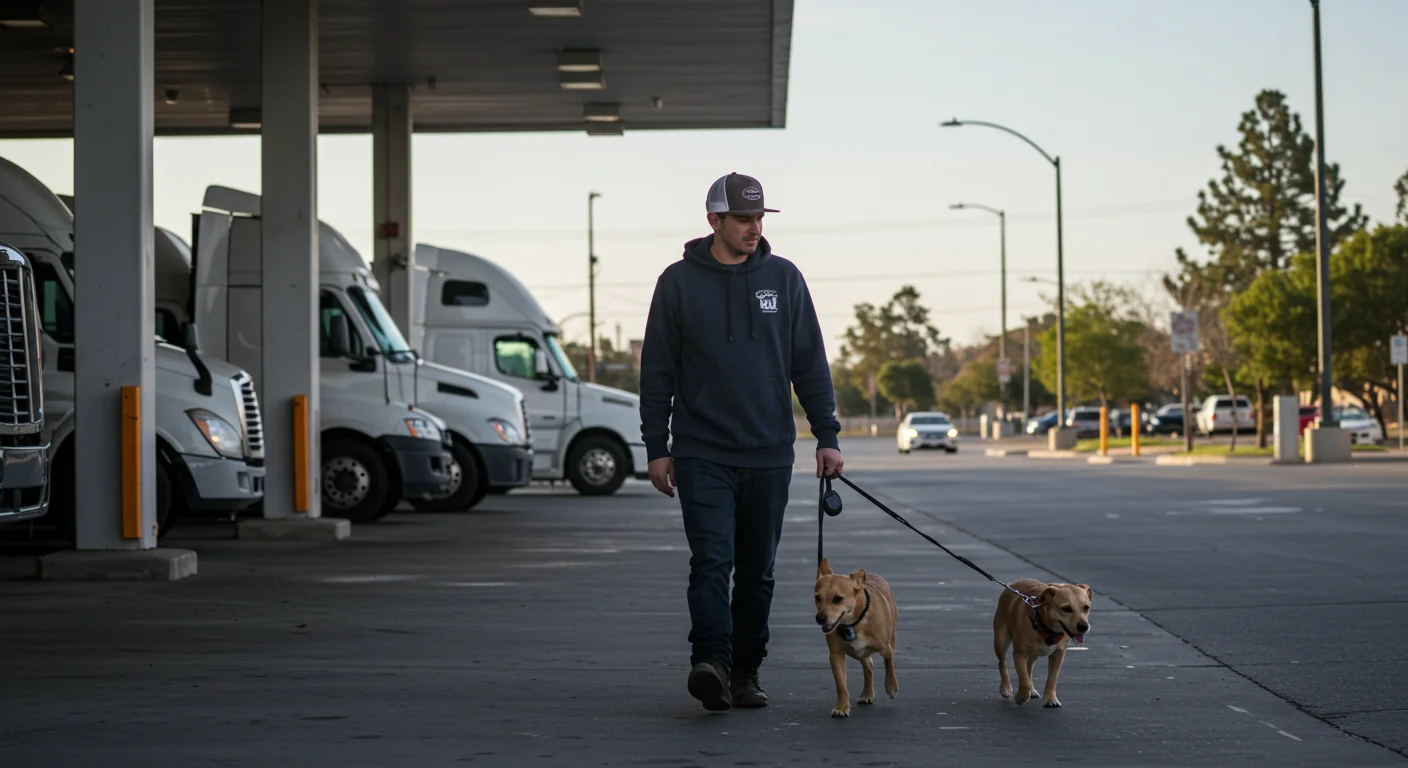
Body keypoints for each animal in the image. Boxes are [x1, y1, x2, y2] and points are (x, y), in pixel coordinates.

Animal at [816, 555, 901, 715]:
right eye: (817, 598)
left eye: (837, 599)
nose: (820, 618)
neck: (854, 623)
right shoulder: (836, 655)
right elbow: (841, 685)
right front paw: (842, 707)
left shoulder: (885, 647)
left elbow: (889, 662)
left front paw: (891, 686)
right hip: (859, 653)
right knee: (868, 666)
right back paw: (867, 693)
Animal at [991, 577, 1086, 710]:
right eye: (1066, 609)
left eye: (1086, 607)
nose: (1083, 626)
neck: (1047, 628)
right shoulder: (1019, 653)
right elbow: (1023, 679)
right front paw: (1021, 698)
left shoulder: (1058, 654)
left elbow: (1052, 678)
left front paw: (1051, 699)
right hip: (1001, 641)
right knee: (1002, 662)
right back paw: (1006, 688)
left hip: (1034, 653)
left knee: (1029, 666)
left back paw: (1032, 689)